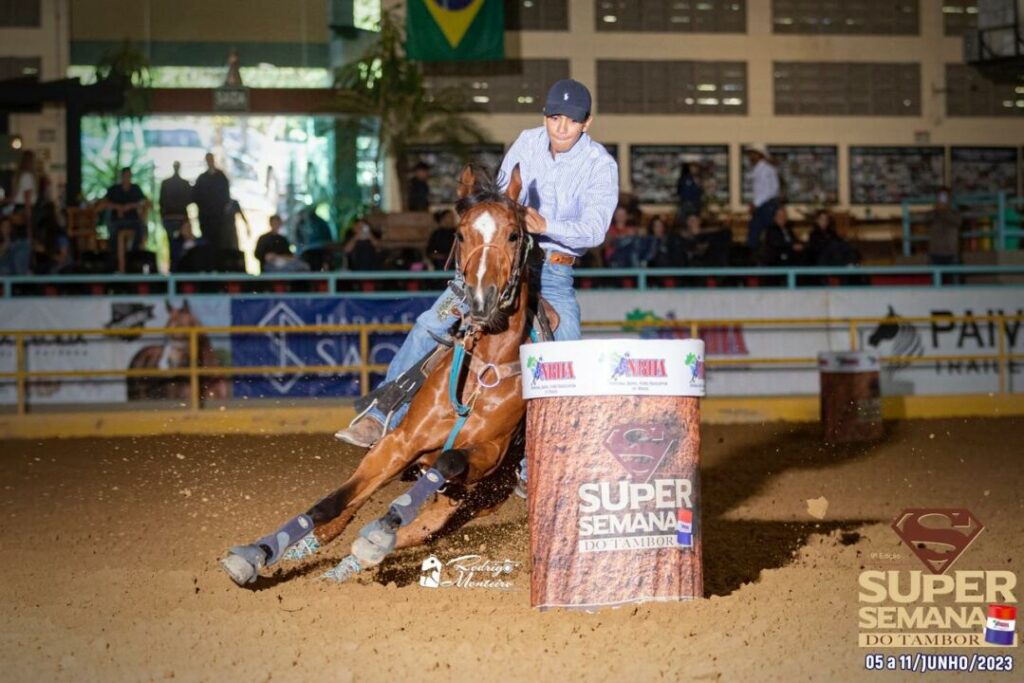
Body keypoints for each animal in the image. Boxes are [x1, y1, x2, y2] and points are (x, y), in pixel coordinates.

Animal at [222, 165, 540, 586]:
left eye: (513, 234)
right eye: (460, 234)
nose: (480, 300)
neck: (479, 375)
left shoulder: (486, 454)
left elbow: (446, 463)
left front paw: (376, 536)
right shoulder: (398, 444)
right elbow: (331, 503)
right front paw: (255, 554)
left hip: (475, 498)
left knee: (417, 528)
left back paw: (362, 554)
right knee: (344, 521)